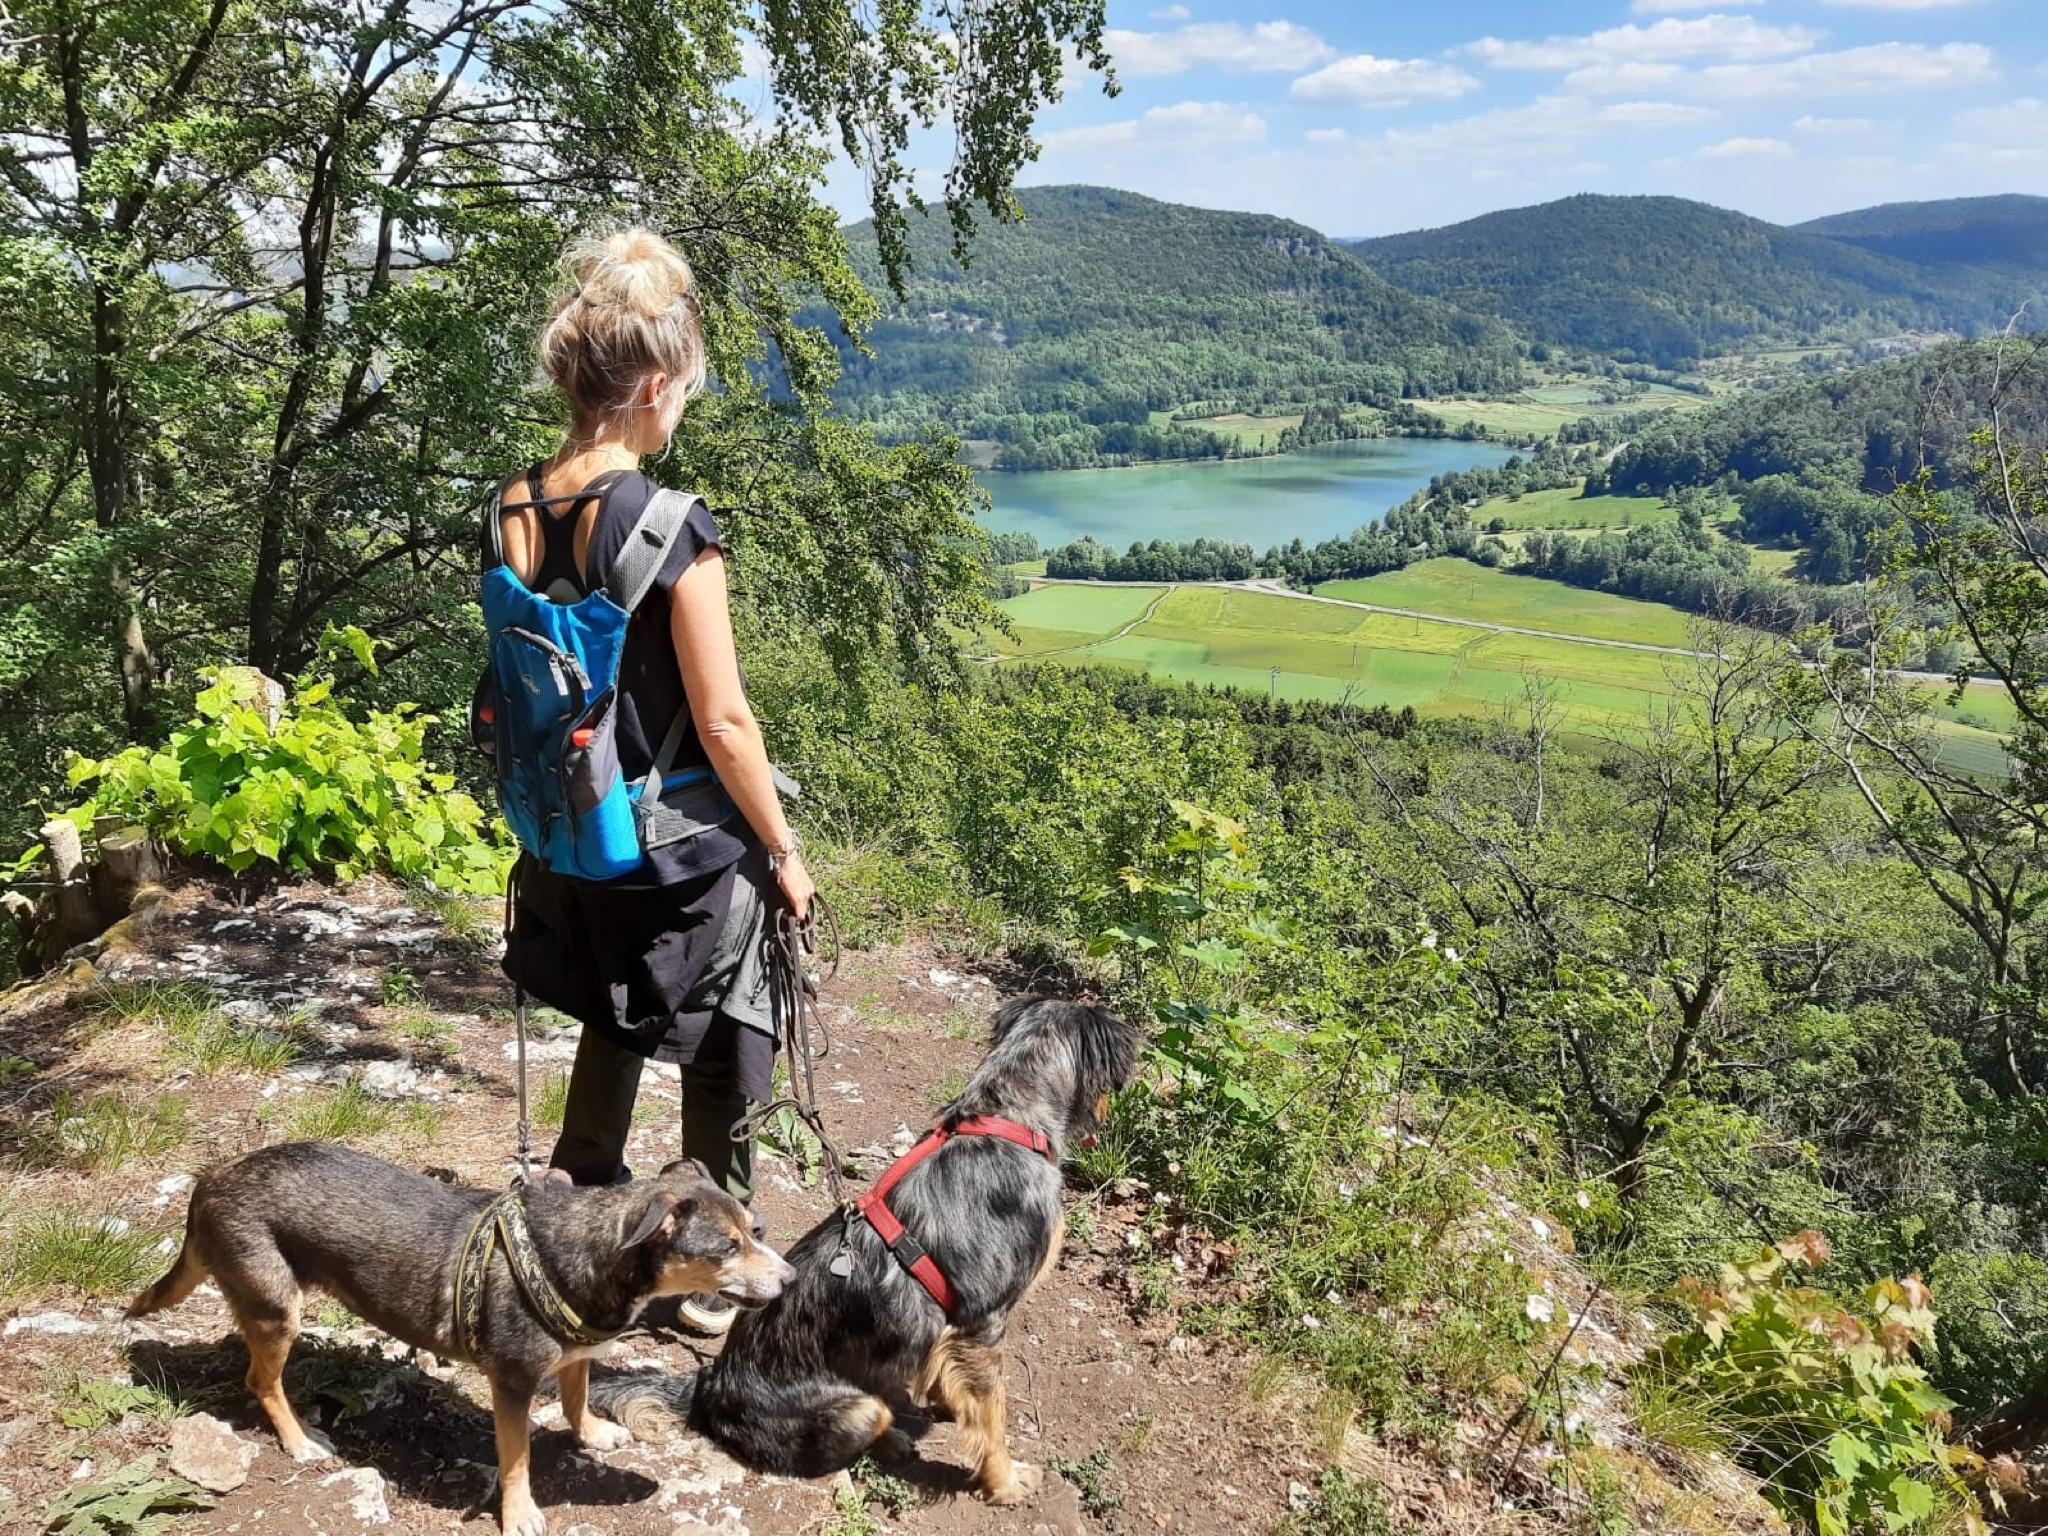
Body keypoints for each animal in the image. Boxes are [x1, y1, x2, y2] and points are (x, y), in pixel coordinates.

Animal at [129, 1144, 793, 1536]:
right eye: (727, 1247)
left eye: (756, 1230)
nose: (790, 1280)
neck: (592, 1253)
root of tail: (210, 1179)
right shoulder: (513, 1384)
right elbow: (517, 1459)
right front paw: (521, 1514)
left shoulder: (574, 1356)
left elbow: (576, 1397)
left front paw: (593, 1433)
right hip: (276, 1312)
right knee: (259, 1381)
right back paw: (299, 1442)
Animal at [591, 996, 1140, 1504]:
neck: (1005, 1121)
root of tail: (711, 1387)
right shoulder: (986, 1321)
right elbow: (992, 1416)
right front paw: (1004, 1481)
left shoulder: (957, 1328)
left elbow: (953, 1378)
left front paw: (947, 1400)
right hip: (860, 1406)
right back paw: (891, 1440)